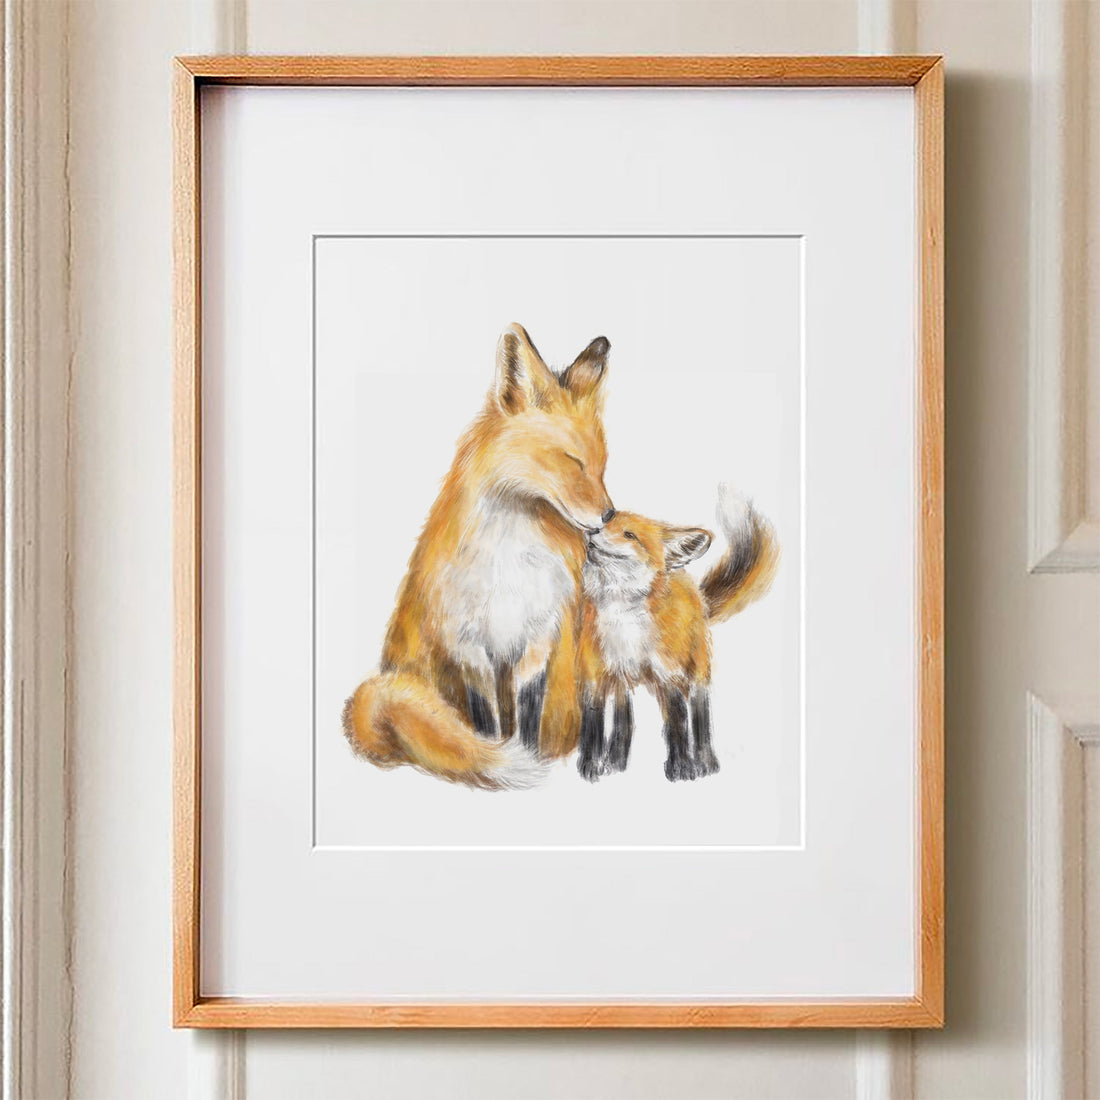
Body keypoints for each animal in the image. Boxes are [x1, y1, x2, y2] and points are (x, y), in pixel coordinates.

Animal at [343, 323, 614, 789]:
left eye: (602, 466)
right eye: (572, 461)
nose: (609, 515)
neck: (510, 561)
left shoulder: (537, 642)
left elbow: (527, 718)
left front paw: (532, 758)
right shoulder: (469, 648)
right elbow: (487, 726)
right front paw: (502, 759)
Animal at [576, 487, 780, 783]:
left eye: (629, 535)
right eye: (605, 524)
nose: (592, 530)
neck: (623, 618)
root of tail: (695, 590)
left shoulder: (668, 675)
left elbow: (677, 726)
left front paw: (682, 768)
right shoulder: (594, 677)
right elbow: (592, 729)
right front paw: (591, 766)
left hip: (696, 674)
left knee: (698, 715)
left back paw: (706, 762)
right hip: (622, 683)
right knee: (624, 722)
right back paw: (617, 762)